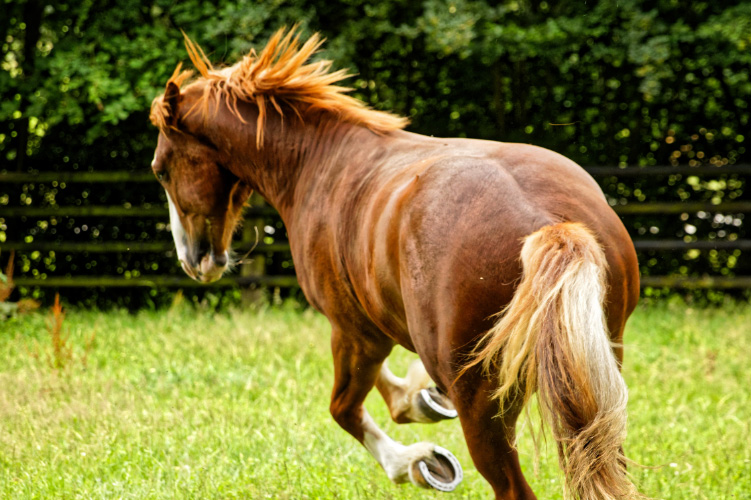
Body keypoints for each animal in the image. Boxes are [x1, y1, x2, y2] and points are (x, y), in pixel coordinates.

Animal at [151, 28, 640, 500]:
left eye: (160, 169)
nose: (193, 259)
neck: (319, 163)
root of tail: (551, 224)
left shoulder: (353, 330)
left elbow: (344, 408)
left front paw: (417, 463)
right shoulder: (371, 326)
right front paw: (421, 400)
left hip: (482, 404)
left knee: (512, 488)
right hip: (594, 393)